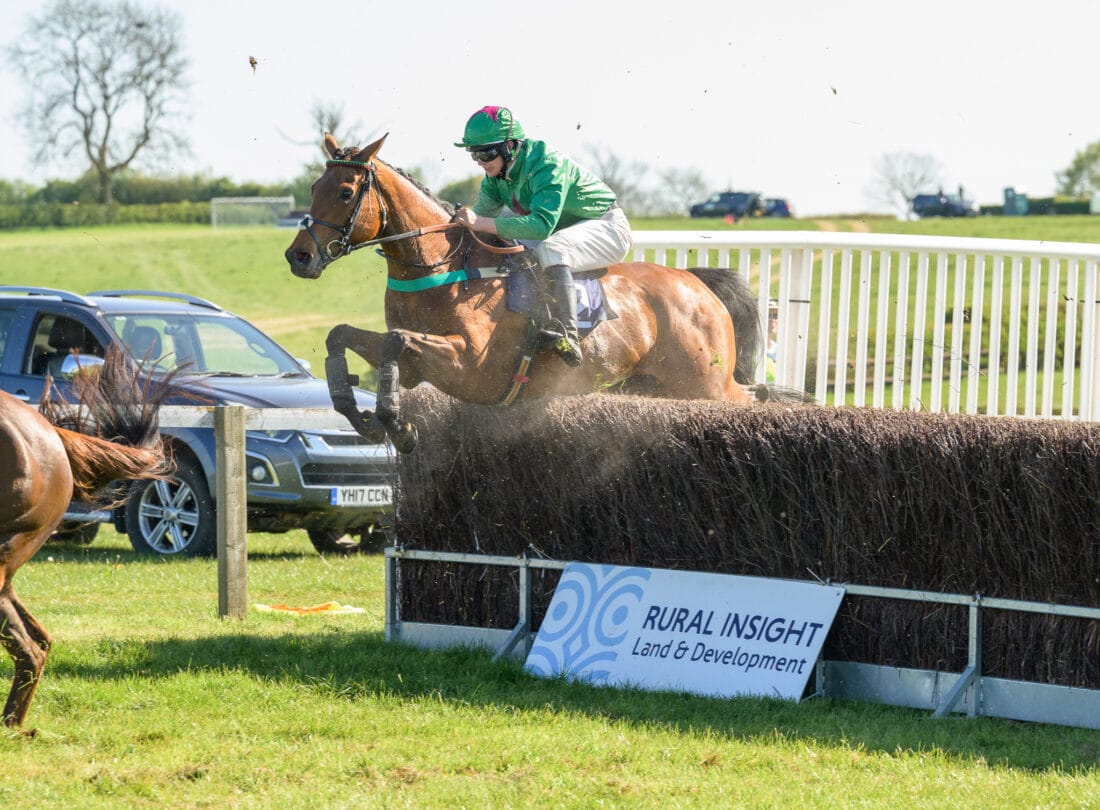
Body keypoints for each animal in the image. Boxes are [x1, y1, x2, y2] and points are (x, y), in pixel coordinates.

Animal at [285, 134, 780, 452]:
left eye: (345, 191)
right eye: (313, 187)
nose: (299, 256)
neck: (442, 267)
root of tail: (697, 283)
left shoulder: (472, 366)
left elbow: (395, 340)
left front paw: (397, 425)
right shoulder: (417, 366)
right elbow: (341, 335)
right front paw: (363, 415)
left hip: (704, 384)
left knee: (752, 398)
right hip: (652, 387)